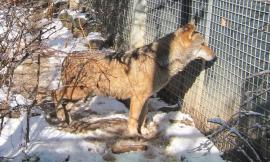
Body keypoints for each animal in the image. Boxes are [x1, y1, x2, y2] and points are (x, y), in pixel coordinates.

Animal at [51, 22, 215, 135]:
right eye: (203, 44)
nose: (215, 56)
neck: (160, 62)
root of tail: (68, 56)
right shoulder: (137, 98)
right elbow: (133, 119)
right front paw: (133, 135)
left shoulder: (146, 99)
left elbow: (143, 118)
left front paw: (143, 132)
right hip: (79, 92)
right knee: (55, 93)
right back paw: (59, 116)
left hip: (81, 95)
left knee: (64, 102)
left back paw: (67, 120)